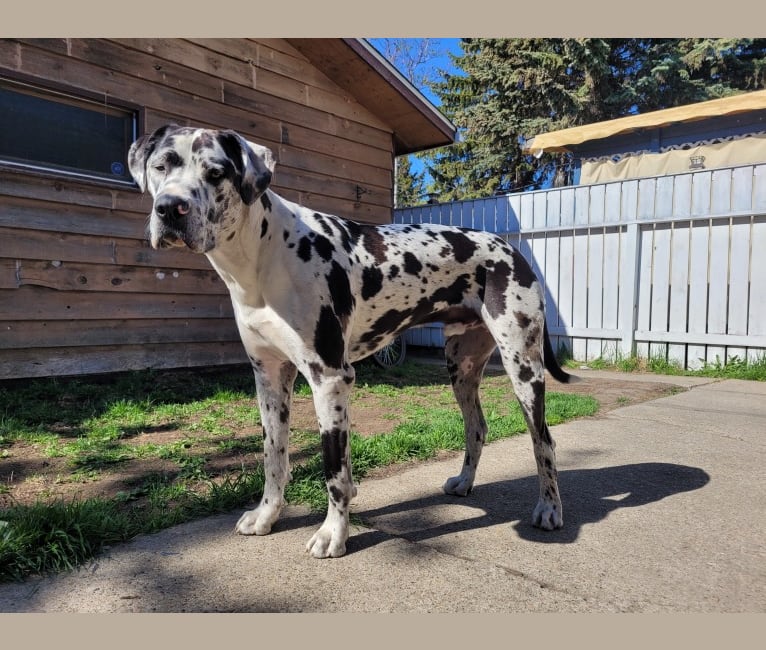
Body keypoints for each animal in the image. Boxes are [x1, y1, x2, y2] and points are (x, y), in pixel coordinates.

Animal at [127, 124, 568, 556]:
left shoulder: (330, 379)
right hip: (461, 367)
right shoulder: (269, 378)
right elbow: (273, 457)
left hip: (523, 368)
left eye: (216, 173)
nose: (170, 208)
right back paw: (464, 482)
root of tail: (510, 248)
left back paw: (549, 508)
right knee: (476, 428)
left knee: (544, 440)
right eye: (161, 166)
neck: (265, 253)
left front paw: (333, 535)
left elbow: (335, 471)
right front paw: (267, 516)